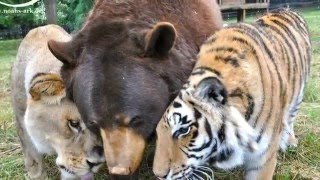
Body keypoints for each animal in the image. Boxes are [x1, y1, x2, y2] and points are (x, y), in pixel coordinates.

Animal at [152, 8, 310, 180]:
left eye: (183, 130)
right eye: (157, 133)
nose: (158, 174)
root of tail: (286, 9)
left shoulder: (263, 159)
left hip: (299, 94)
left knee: (291, 116)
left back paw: (290, 140)